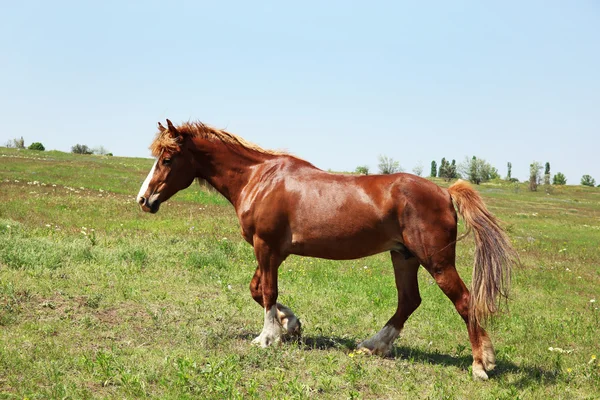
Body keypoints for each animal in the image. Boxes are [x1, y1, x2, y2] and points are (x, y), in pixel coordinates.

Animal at [135, 119, 516, 378]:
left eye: (167, 158)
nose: (143, 199)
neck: (259, 179)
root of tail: (444, 191)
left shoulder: (266, 246)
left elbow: (267, 291)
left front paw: (268, 337)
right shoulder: (273, 252)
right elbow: (257, 289)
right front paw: (291, 325)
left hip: (435, 260)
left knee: (463, 301)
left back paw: (481, 364)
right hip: (403, 256)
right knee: (409, 301)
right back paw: (373, 346)